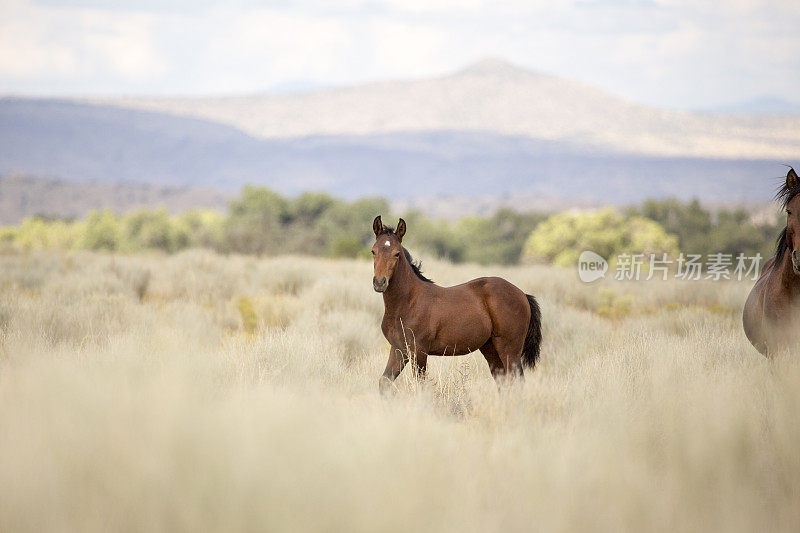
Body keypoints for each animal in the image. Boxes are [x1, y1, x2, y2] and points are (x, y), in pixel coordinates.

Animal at [370, 214, 544, 392]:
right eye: (373, 251)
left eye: (397, 253)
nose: (379, 283)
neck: (408, 302)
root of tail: (522, 294)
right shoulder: (398, 349)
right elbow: (384, 381)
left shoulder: (419, 351)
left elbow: (420, 385)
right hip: (490, 348)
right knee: (503, 381)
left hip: (510, 349)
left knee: (517, 381)